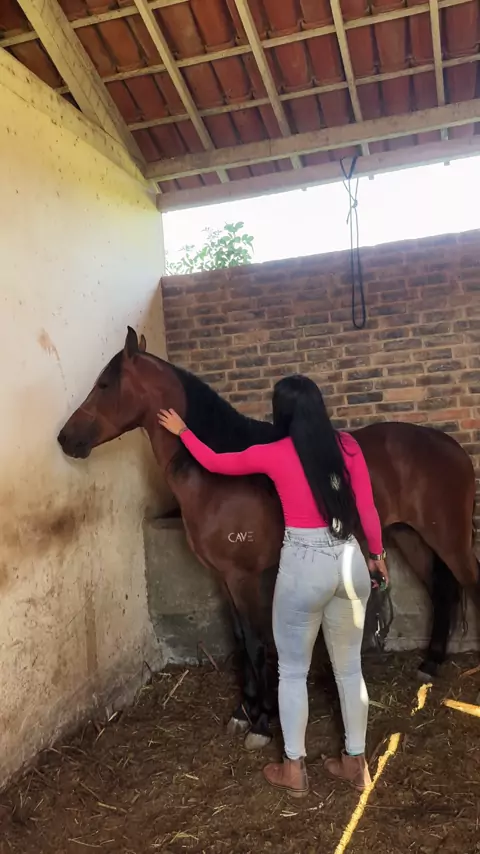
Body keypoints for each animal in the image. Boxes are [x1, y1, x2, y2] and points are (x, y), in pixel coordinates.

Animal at [57, 328, 480, 749]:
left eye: (105, 384)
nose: (65, 438)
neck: (219, 475)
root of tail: (451, 447)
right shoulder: (223, 578)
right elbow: (241, 640)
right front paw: (243, 711)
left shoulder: (243, 577)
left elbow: (257, 643)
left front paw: (261, 721)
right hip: (410, 537)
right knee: (442, 592)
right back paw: (430, 663)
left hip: (448, 539)